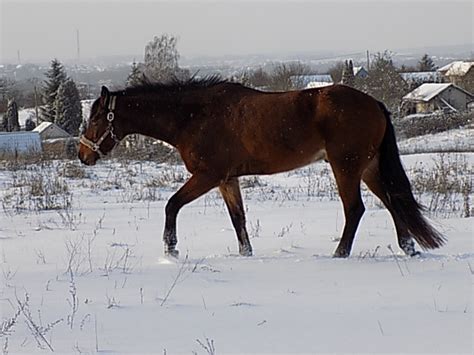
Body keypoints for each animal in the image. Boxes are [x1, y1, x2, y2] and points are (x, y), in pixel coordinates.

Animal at [78, 77, 444, 258]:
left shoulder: (207, 175)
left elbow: (172, 205)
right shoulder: (227, 179)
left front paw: (171, 248)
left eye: (96, 118)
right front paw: (245, 253)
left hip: (347, 166)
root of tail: (376, 104)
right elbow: (237, 218)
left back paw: (340, 254)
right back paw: (409, 248)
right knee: (393, 202)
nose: (83, 155)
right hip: (368, 167)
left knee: (355, 209)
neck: (193, 116)